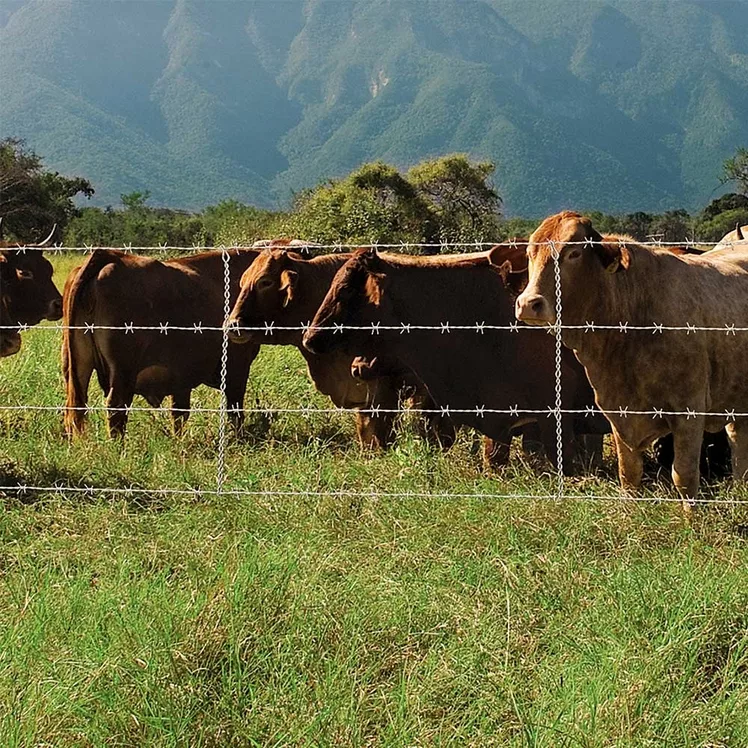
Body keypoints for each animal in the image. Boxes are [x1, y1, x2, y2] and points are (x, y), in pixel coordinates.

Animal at [65, 248, 262, 438]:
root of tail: (113, 256)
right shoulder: (237, 364)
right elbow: (235, 409)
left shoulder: (182, 374)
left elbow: (179, 412)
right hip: (122, 370)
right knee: (116, 409)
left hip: (77, 366)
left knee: (75, 409)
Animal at [516, 207, 748, 506]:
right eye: (530, 253)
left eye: (574, 253)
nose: (528, 304)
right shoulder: (618, 410)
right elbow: (629, 474)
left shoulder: (689, 411)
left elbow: (684, 477)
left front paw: (690, 518)